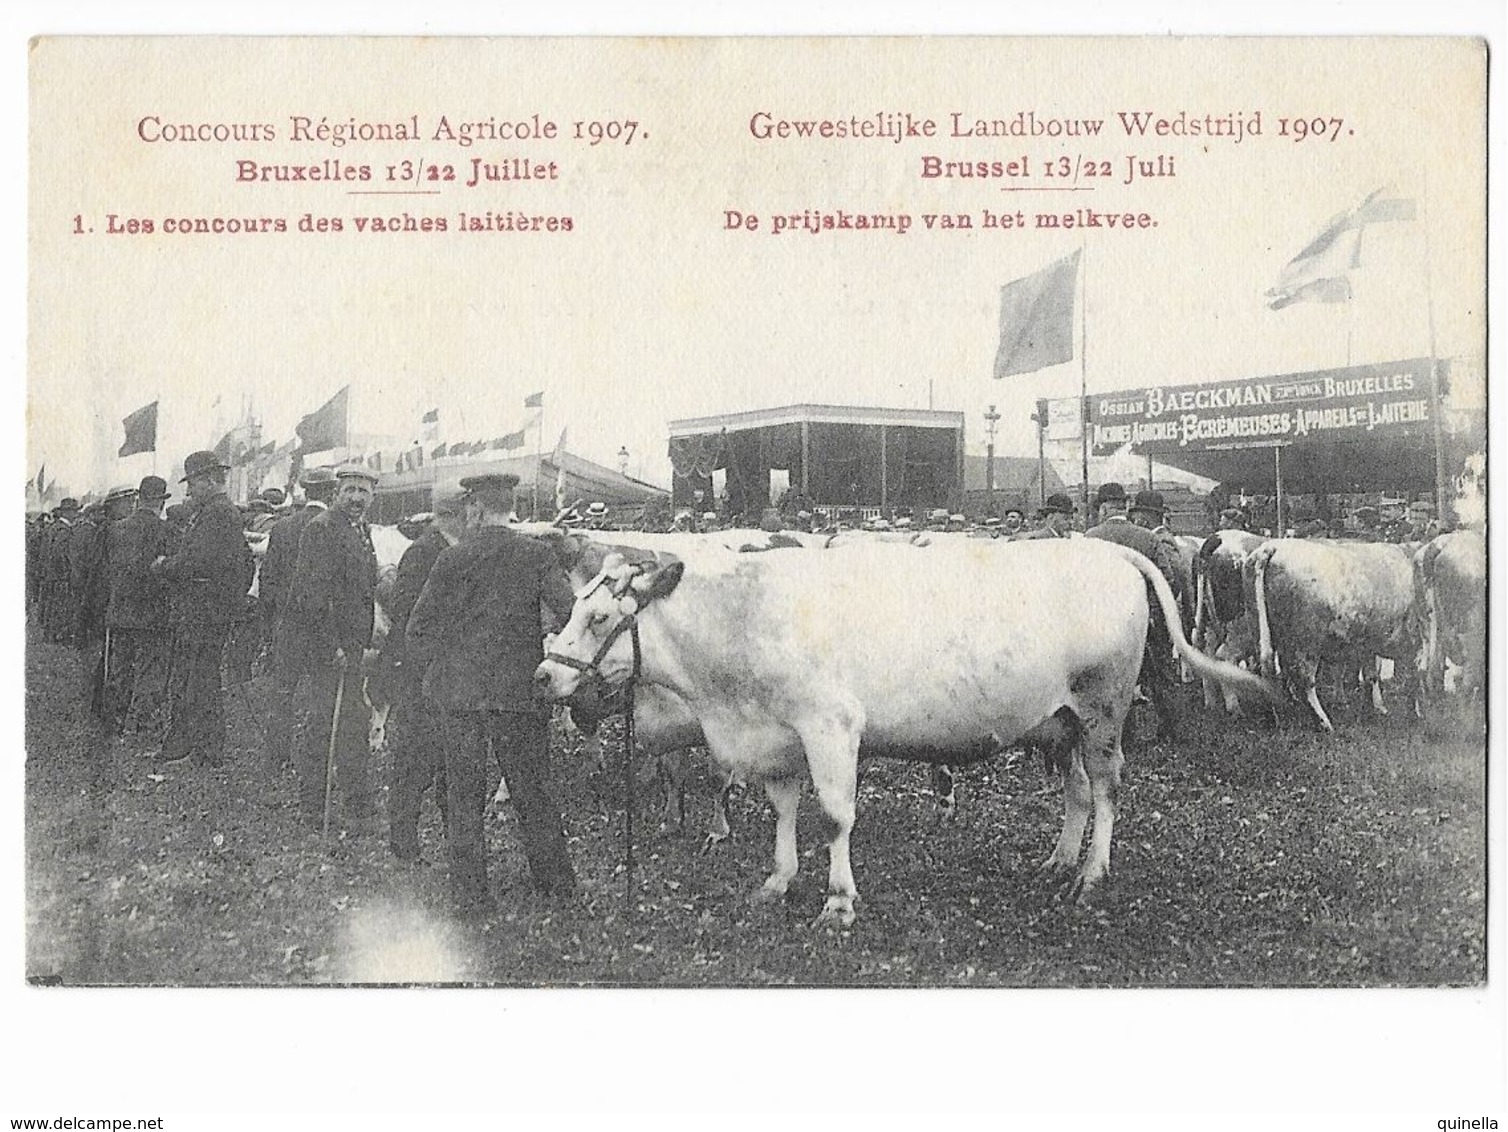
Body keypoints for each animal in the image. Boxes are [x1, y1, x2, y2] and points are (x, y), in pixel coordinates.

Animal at [536, 542, 1278, 928]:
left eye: (599, 616)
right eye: (572, 608)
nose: (544, 674)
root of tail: (1107, 547)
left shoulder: (830, 723)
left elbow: (835, 817)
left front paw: (838, 902)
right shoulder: (776, 733)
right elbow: (784, 811)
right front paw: (777, 881)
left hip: (1102, 709)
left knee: (1105, 790)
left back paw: (1091, 876)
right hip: (1060, 718)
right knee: (1074, 794)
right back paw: (1059, 859)